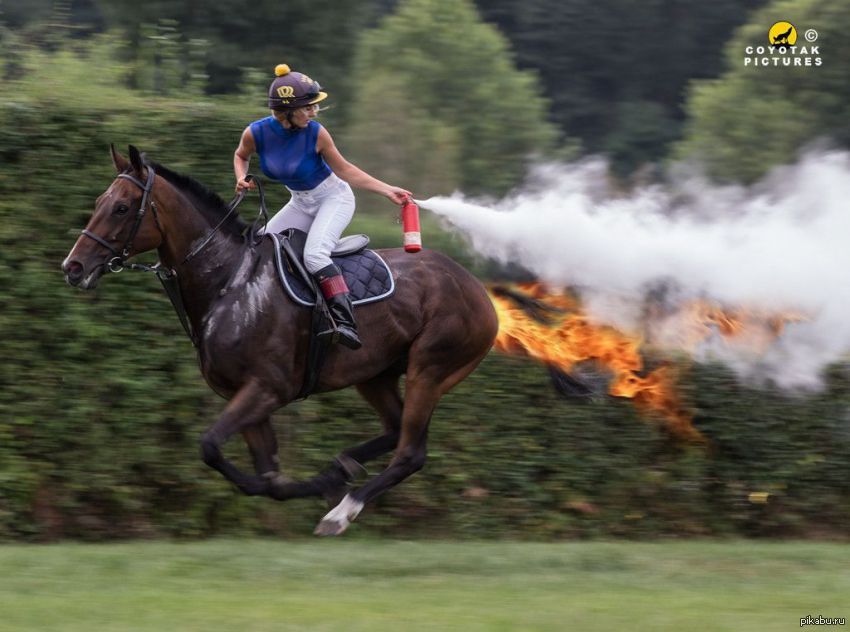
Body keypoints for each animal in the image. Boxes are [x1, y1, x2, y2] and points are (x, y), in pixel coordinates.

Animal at [63, 146, 500, 536]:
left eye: (122, 208)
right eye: (100, 201)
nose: (73, 267)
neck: (228, 281)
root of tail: (477, 288)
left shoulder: (266, 389)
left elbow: (212, 447)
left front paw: (323, 487)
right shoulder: (245, 395)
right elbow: (266, 477)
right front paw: (322, 480)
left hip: (430, 368)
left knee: (411, 452)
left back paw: (340, 513)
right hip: (374, 375)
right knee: (395, 429)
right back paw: (341, 467)